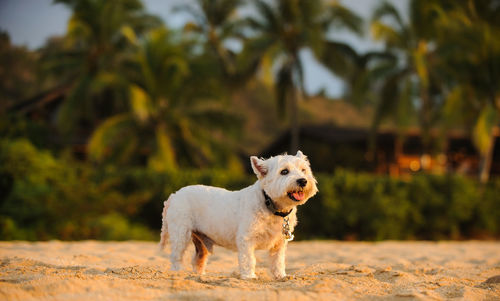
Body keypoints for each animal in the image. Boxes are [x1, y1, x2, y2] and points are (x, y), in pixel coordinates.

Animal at [158, 150, 318, 278]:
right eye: (284, 171)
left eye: (304, 170)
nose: (303, 181)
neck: (271, 205)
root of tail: (174, 195)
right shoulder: (246, 239)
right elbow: (249, 260)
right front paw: (249, 277)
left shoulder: (279, 243)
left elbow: (278, 261)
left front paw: (281, 276)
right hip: (181, 233)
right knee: (177, 256)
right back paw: (177, 273)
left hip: (201, 240)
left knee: (198, 259)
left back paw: (200, 276)